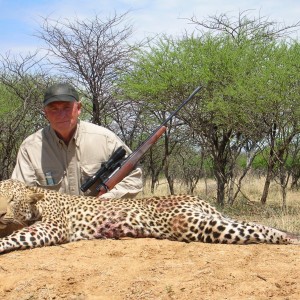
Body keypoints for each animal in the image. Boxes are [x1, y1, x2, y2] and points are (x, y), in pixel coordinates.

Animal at [0, 178, 298, 253]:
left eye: (12, 199)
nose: (1, 211)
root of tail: (193, 198)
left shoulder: (51, 228)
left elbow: (16, 237)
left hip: (198, 225)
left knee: (256, 228)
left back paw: (289, 238)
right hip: (209, 220)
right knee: (249, 223)